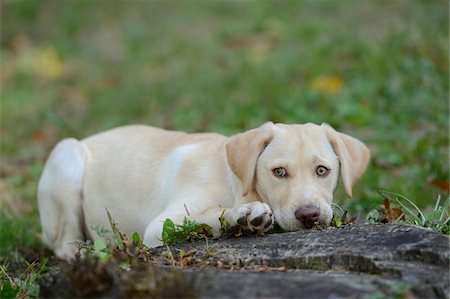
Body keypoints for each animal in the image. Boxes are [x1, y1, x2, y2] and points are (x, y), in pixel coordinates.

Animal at [37, 123, 370, 262]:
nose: (309, 215)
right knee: (63, 244)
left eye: (322, 171)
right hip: (66, 157)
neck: (236, 182)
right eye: (279, 172)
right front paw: (241, 216)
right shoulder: (158, 228)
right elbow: (204, 218)